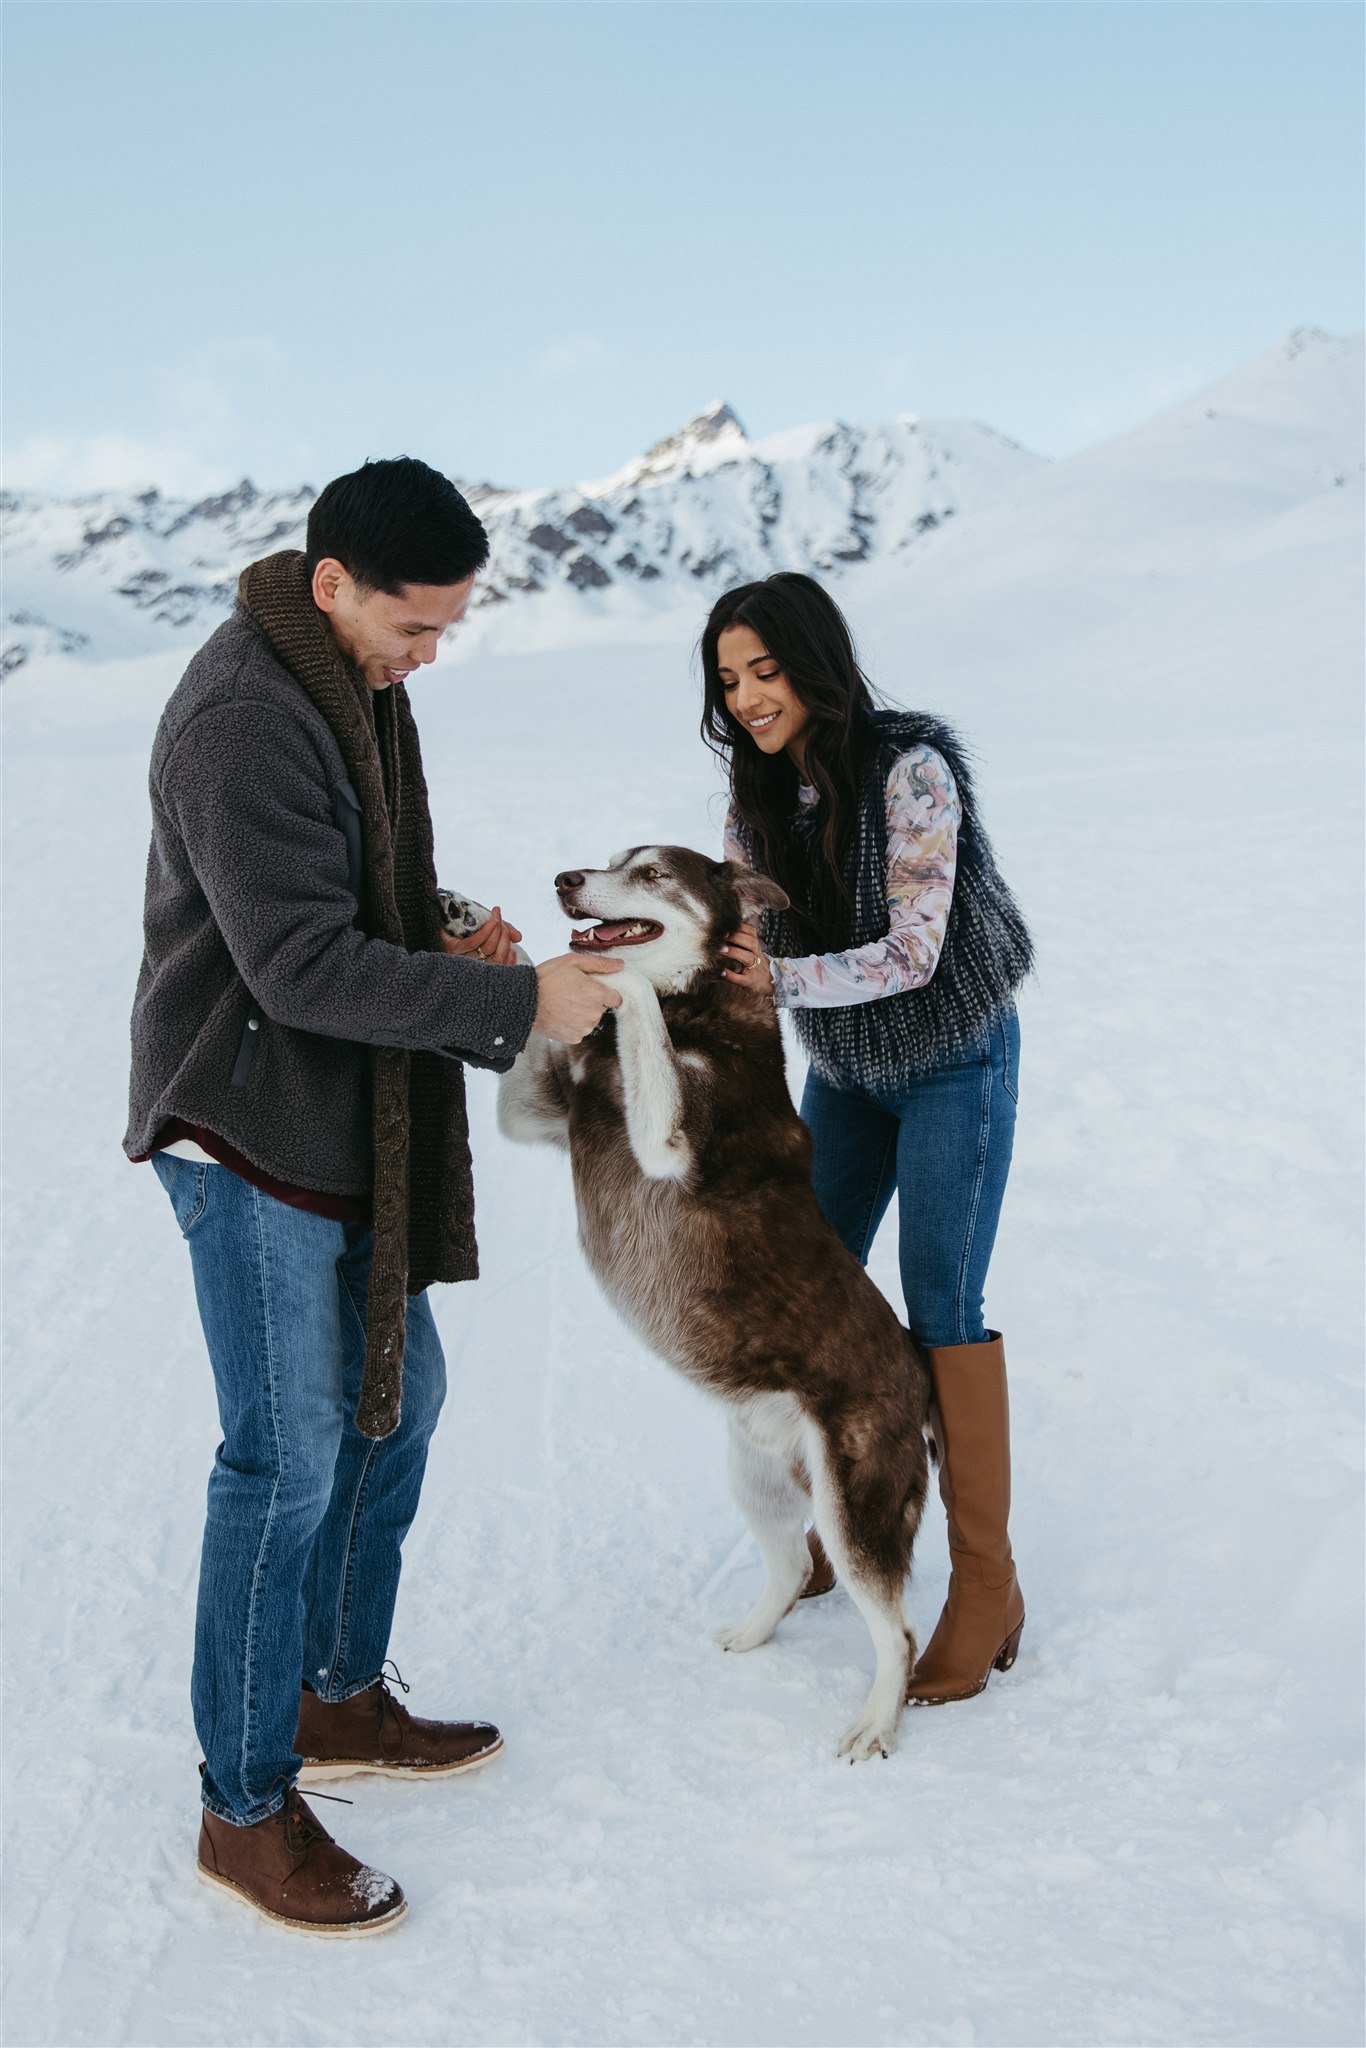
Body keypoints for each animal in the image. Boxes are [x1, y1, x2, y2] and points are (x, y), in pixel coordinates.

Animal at [479, 847, 929, 1761]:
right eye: (612, 858)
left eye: (651, 872)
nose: (567, 880)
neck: (699, 1013)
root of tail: (921, 1382)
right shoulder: (537, 1112)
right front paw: (487, 935)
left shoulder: (669, 1137)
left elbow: (636, 999)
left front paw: (616, 981)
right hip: (756, 1472)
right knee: (791, 1569)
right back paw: (753, 1633)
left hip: (853, 1509)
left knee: (895, 1634)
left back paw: (875, 1722)